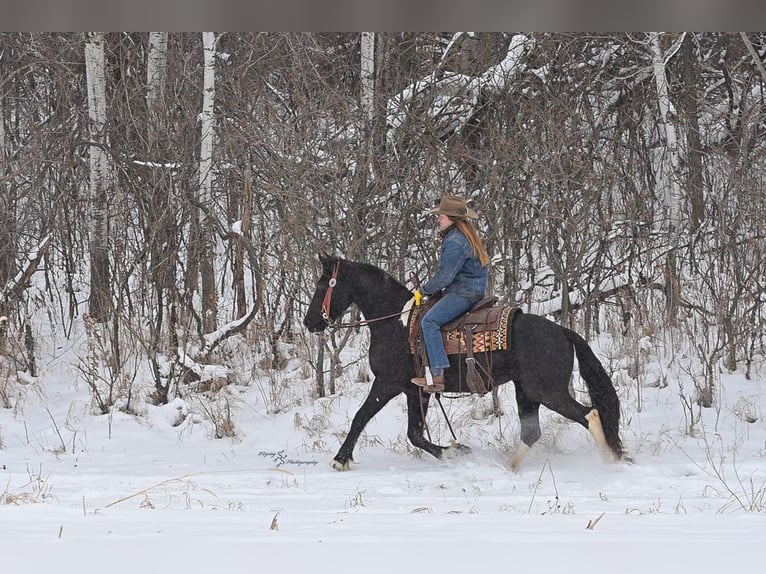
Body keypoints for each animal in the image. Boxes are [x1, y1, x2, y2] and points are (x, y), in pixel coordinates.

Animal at [303, 254, 628, 472]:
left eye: (321, 285)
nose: (309, 322)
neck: (395, 322)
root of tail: (562, 330)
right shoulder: (416, 391)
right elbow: (415, 434)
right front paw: (456, 450)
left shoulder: (388, 383)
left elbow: (362, 417)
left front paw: (340, 459)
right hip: (527, 391)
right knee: (532, 432)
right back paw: (509, 467)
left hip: (548, 391)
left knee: (590, 415)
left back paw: (610, 461)